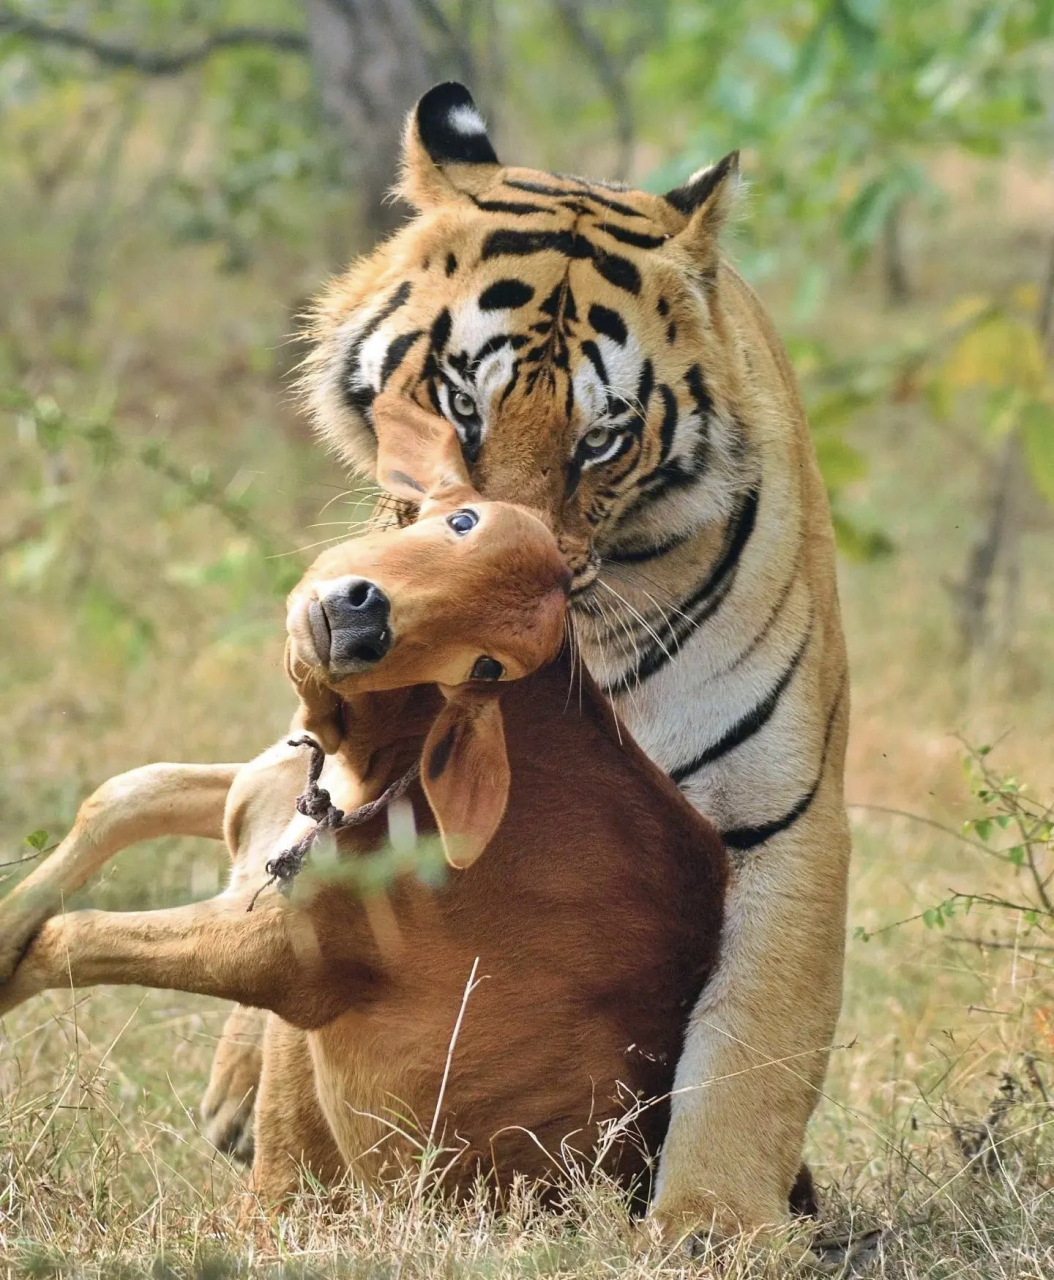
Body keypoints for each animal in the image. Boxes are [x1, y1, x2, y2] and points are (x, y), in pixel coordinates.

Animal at [202, 82, 855, 1239]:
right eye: (461, 403)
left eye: (602, 439)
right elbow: (295, 1036)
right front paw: (286, 1206)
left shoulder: (781, 812)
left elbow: (753, 1057)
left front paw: (712, 1226)